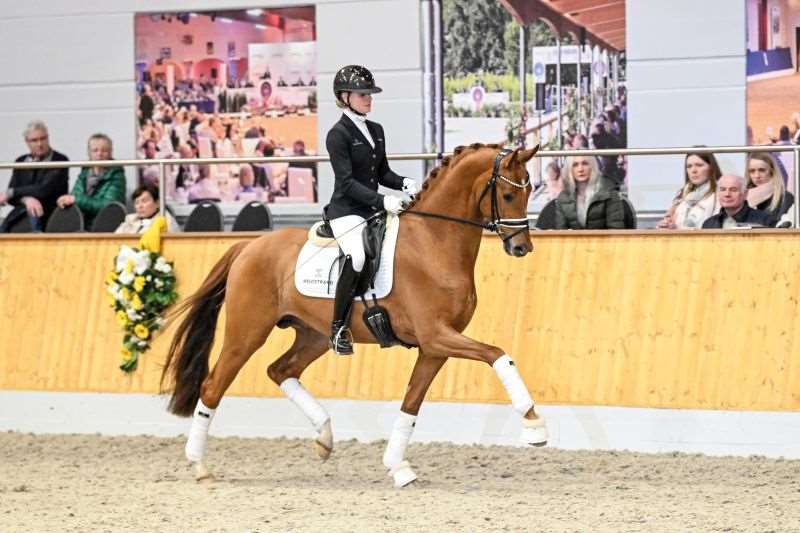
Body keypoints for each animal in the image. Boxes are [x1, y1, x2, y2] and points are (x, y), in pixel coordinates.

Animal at [161, 143, 547, 487]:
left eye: (529, 190)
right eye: (508, 195)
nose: (521, 247)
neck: (433, 242)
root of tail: (249, 245)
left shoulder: (434, 346)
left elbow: (411, 403)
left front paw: (398, 467)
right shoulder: (437, 335)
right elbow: (498, 356)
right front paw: (533, 425)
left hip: (314, 335)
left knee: (281, 370)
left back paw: (324, 437)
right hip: (246, 334)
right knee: (213, 386)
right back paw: (199, 466)